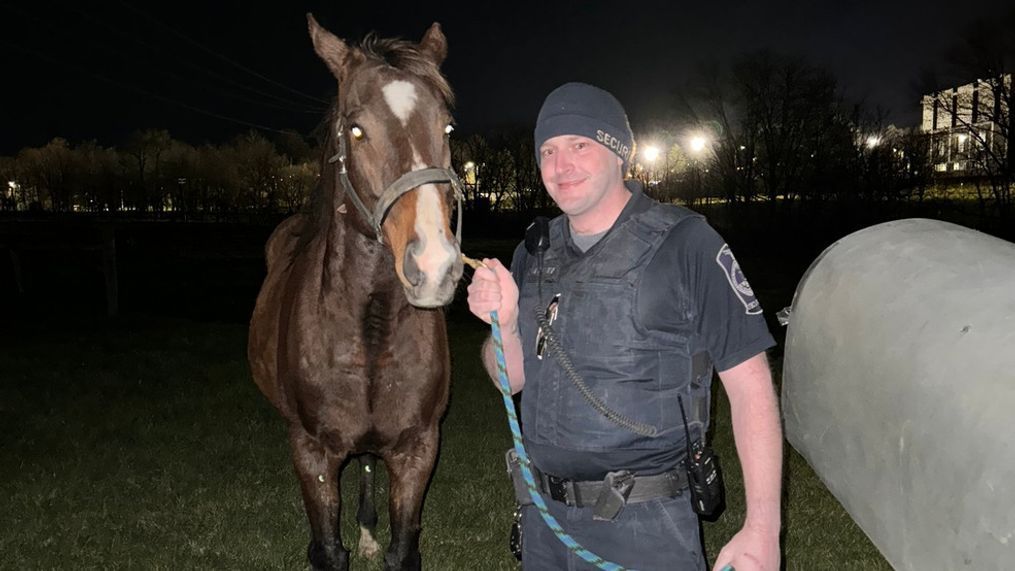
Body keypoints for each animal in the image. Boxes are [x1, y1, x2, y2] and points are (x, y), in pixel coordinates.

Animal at [249, 14, 464, 571]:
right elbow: (328, 548)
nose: (434, 265)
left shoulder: (417, 451)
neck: (370, 328)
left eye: (447, 128)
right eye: (356, 128)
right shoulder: (312, 454)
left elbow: (402, 548)